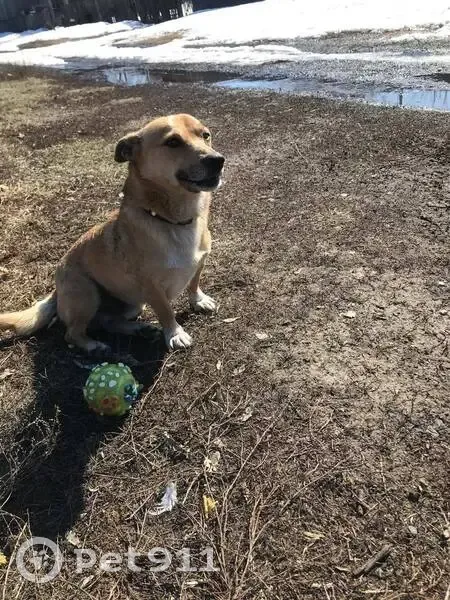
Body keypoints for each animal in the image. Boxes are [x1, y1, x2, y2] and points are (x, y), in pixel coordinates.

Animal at [0, 114, 225, 353]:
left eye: (205, 135)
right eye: (173, 142)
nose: (218, 160)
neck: (174, 220)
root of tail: (56, 290)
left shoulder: (199, 263)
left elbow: (193, 283)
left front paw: (198, 300)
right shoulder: (151, 288)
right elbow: (166, 311)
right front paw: (175, 333)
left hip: (132, 305)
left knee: (108, 321)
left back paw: (138, 328)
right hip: (87, 294)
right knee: (72, 333)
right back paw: (93, 345)